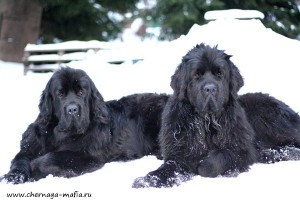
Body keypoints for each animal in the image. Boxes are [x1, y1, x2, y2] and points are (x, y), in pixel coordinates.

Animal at [0, 66, 169, 184]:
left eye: (81, 93)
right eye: (60, 94)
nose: (72, 109)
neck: (58, 135)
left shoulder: (86, 156)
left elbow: (52, 157)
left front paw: (35, 168)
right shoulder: (29, 147)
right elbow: (20, 159)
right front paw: (12, 177)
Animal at [132, 43, 300, 188]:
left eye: (220, 73)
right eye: (196, 75)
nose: (210, 89)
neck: (207, 121)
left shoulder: (242, 151)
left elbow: (220, 157)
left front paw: (203, 165)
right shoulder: (179, 152)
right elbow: (168, 167)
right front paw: (147, 180)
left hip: (266, 116)